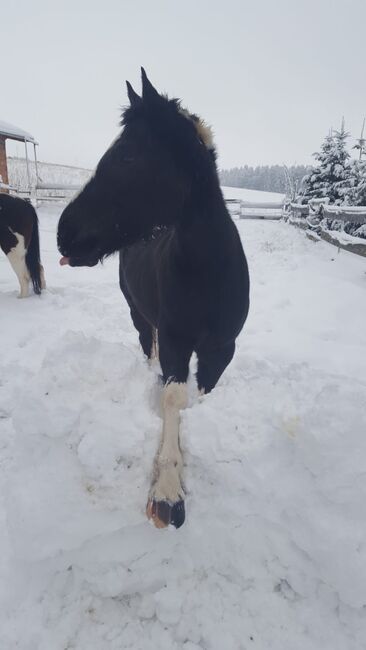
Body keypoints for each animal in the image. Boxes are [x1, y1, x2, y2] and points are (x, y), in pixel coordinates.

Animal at [58, 69, 252, 528]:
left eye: (128, 156)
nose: (63, 233)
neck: (208, 275)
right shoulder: (177, 342)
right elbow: (172, 399)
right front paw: (167, 491)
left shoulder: (222, 349)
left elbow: (199, 395)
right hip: (139, 316)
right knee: (149, 347)